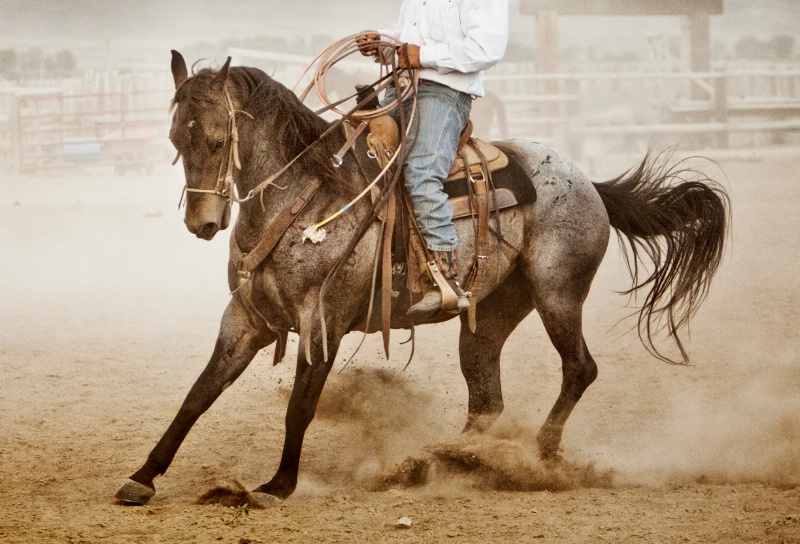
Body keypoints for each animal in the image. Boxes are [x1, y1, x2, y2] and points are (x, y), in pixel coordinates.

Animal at [114, 52, 732, 506]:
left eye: (219, 141)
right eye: (176, 140)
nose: (202, 223)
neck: (309, 199)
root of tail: (589, 183)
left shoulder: (323, 323)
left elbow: (300, 406)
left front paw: (277, 486)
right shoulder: (246, 320)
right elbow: (199, 394)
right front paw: (143, 476)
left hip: (558, 293)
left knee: (580, 368)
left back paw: (540, 452)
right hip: (490, 317)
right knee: (487, 400)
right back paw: (450, 460)